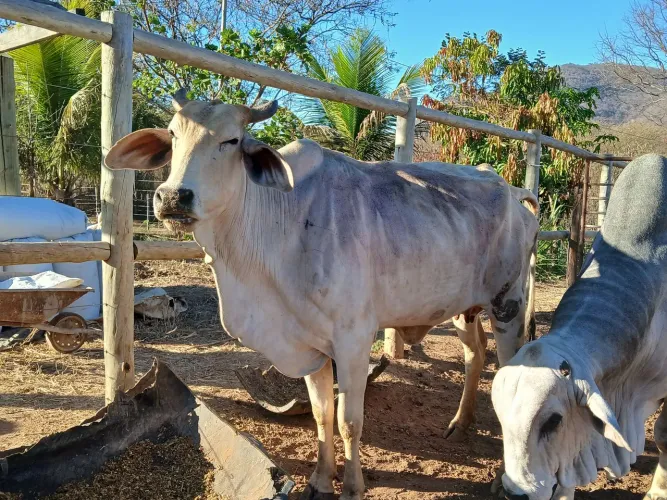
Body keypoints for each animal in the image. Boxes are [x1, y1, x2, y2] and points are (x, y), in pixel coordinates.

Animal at [104, 94, 539, 500]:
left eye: (232, 140)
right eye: (173, 135)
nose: (172, 197)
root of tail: (513, 191)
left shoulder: (353, 339)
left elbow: (349, 420)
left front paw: (352, 486)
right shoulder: (308, 343)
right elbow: (321, 414)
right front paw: (319, 480)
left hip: (509, 306)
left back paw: (501, 477)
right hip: (465, 309)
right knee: (474, 356)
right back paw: (460, 424)